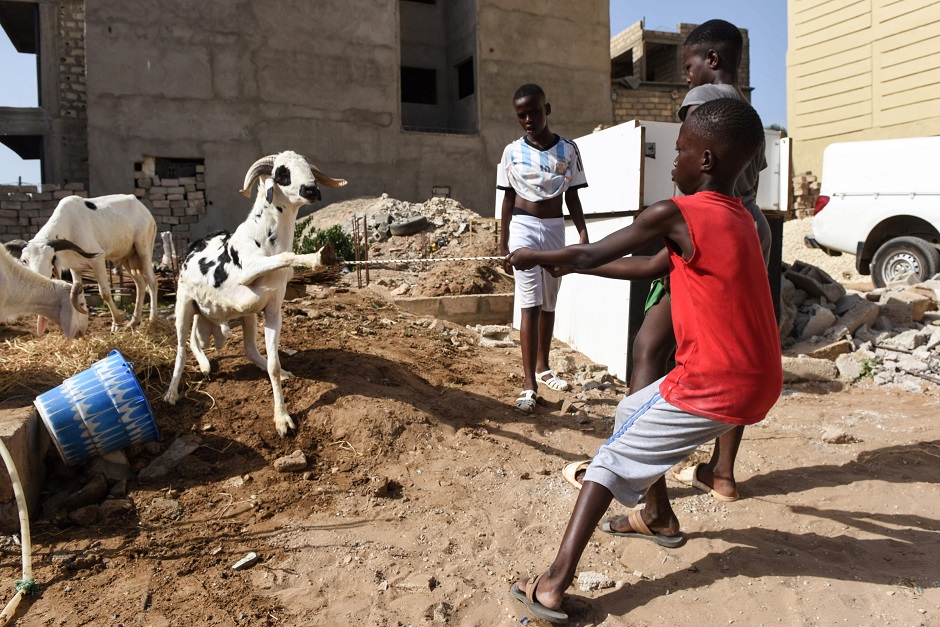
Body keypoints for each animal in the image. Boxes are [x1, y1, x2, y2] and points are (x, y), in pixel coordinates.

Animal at [13, 195, 158, 334]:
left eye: (51, 259)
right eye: (24, 260)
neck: (69, 227)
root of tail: (145, 211)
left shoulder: (98, 260)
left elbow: (105, 293)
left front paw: (117, 323)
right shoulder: (75, 268)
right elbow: (78, 297)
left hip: (143, 249)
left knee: (152, 282)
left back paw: (152, 320)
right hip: (126, 257)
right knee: (141, 284)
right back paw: (134, 321)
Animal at [163, 152, 346, 436]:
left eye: (309, 169)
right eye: (282, 173)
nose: (311, 190)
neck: (266, 238)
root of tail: (194, 245)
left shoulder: (272, 310)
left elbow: (274, 364)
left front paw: (282, 419)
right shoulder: (248, 273)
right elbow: (285, 256)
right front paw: (318, 257)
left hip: (239, 317)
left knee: (238, 347)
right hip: (184, 304)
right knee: (182, 347)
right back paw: (172, 393)